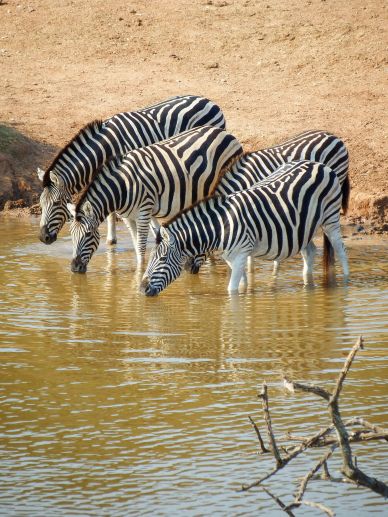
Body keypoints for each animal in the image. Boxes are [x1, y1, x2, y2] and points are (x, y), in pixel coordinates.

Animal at [37, 94, 227, 246]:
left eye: (56, 203)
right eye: (41, 203)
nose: (42, 238)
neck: (104, 149)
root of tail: (208, 100)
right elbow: (113, 211)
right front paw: (112, 240)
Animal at [66, 124, 242, 272]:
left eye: (88, 234)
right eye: (72, 234)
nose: (74, 268)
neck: (122, 187)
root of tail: (225, 132)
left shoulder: (144, 211)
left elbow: (141, 246)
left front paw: (139, 273)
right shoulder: (127, 217)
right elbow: (136, 244)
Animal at [139, 159, 348, 294]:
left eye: (163, 258)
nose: (141, 289)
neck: (220, 226)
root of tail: (320, 165)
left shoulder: (240, 255)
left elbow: (231, 290)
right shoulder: (233, 258)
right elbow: (241, 286)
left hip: (330, 218)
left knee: (341, 250)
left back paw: (345, 282)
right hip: (303, 228)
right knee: (310, 252)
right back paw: (307, 284)